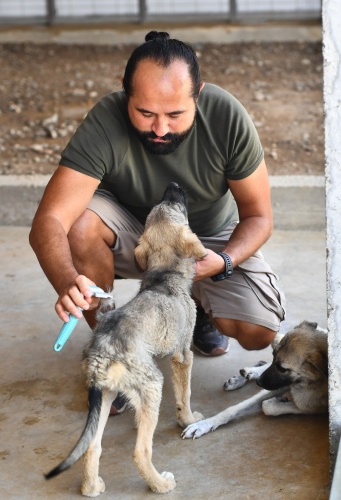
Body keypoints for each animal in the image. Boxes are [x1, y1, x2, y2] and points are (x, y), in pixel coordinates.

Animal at [44, 183, 205, 496]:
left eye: (164, 204)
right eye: (176, 206)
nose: (173, 185)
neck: (163, 275)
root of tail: (99, 354)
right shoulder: (183, 354)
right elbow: (185, 395)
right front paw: (189, 421)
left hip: (106, 394)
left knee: (92, 446)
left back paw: (91, 487)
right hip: (152, 385)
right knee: (140, 452)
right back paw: (161, 484)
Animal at [181, 322, 326, 440]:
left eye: (282, 368)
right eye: (274, 356)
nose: (259, 383)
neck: (306, 382)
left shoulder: (316, 406)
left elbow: (271, 406)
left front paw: (278, 402)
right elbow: (235, 408)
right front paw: (204, 424)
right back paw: (245, 374)